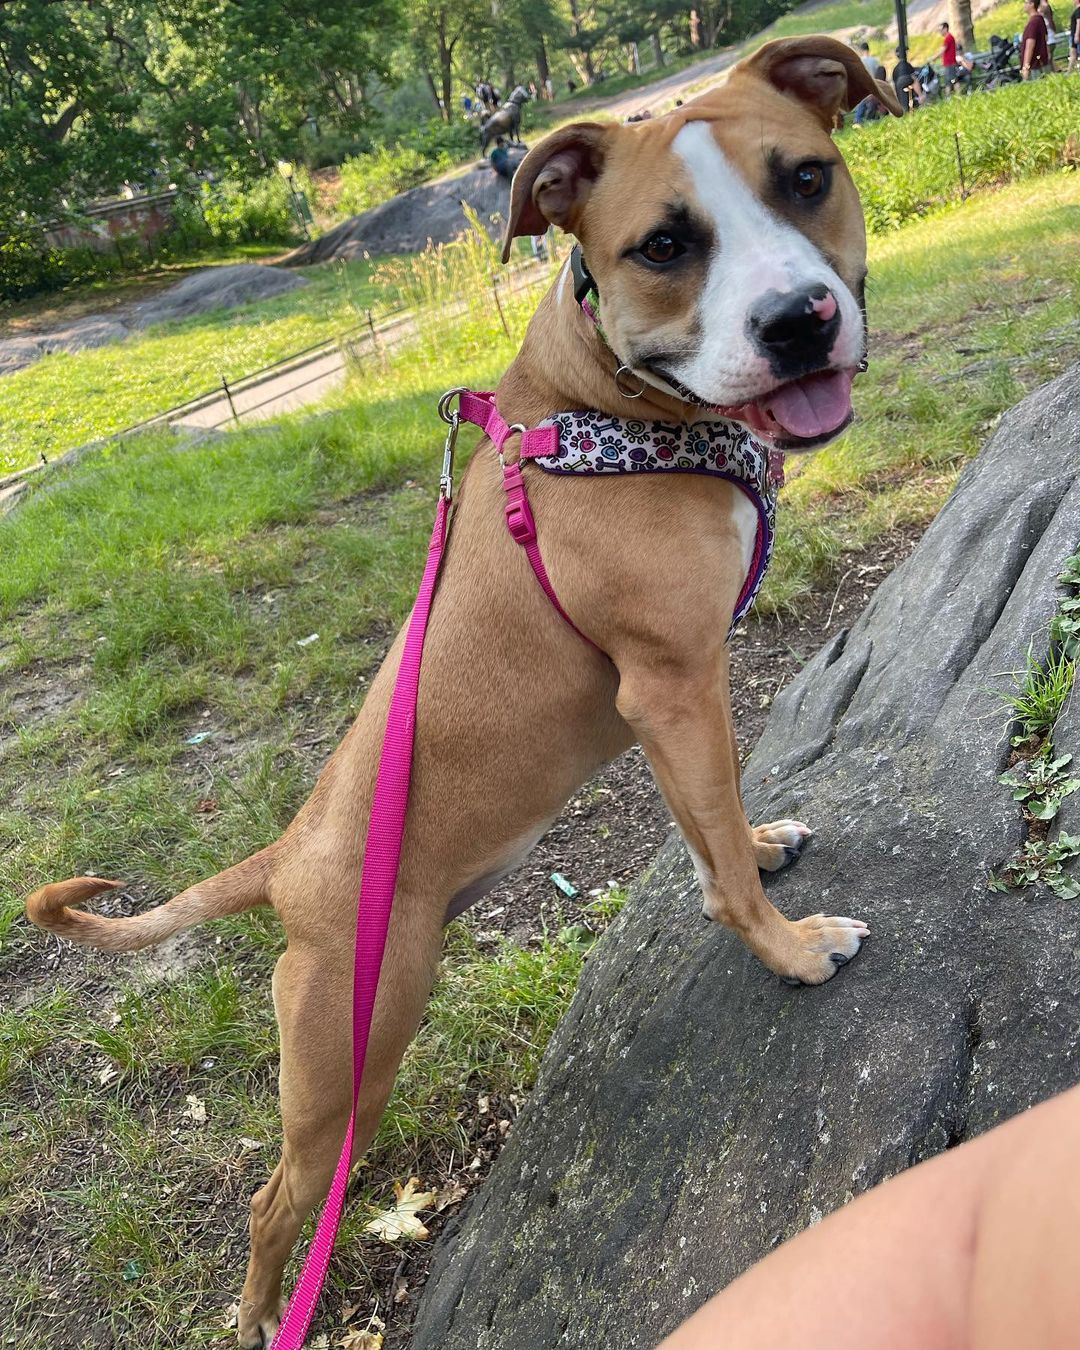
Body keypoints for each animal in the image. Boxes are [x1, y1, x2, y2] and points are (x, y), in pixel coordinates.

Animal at [27, 36, 901, 1344]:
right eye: (663, 246)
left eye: (807, 178)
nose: (799, 321)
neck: (605, 410)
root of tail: (282, 863)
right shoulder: (673, 686)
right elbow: (728, 865)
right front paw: (791, 953)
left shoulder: (672, 711)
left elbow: (710, 835)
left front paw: (751, 851)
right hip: (344, 1066)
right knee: (272, 1207)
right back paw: (259, 1315)